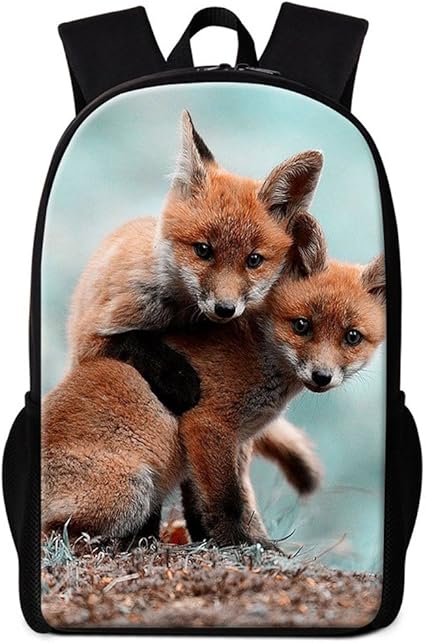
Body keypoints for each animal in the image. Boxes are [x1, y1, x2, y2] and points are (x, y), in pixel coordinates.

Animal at [42, 209, 386, 547]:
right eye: (301, 326)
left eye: (352, 337)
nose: (322, 376)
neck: (258, 352)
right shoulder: (207, 426)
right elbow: (226, 501)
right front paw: (236, 541)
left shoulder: (234, 443)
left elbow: (225, 501)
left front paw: (235, 540)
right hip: (133, 490)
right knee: (57, 533)